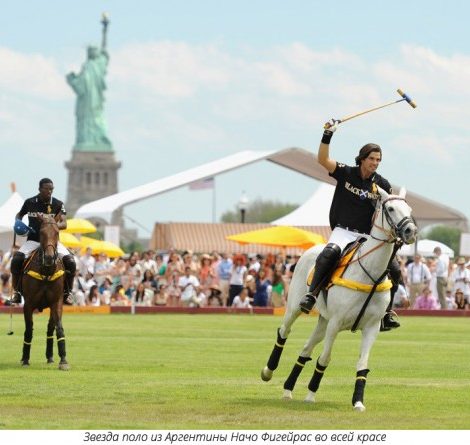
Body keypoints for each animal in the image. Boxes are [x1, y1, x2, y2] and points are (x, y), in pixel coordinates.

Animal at [20, 213, 69, 370]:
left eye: (57, 233)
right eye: (41, 233)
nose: (49, 258)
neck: (46, 271)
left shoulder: (57, 301)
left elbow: (59, 328)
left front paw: (63, 360)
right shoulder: (28, 303)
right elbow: (29, 329)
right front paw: (25, 359)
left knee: (50, 328)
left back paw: (50, 356)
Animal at [260, 186, 418, 412]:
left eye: (410, 208)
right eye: (390, 208)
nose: (410, 231)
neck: (370, 272)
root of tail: (312, 249)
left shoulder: (371, 327)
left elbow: (362, 365)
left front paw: (358, 401)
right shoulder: (336, 323)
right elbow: (325, 358)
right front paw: (311, 395)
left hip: (323, 321)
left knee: (305, 349)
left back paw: (288, 389)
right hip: (296, 308)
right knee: (284, 330)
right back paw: (268, 371)